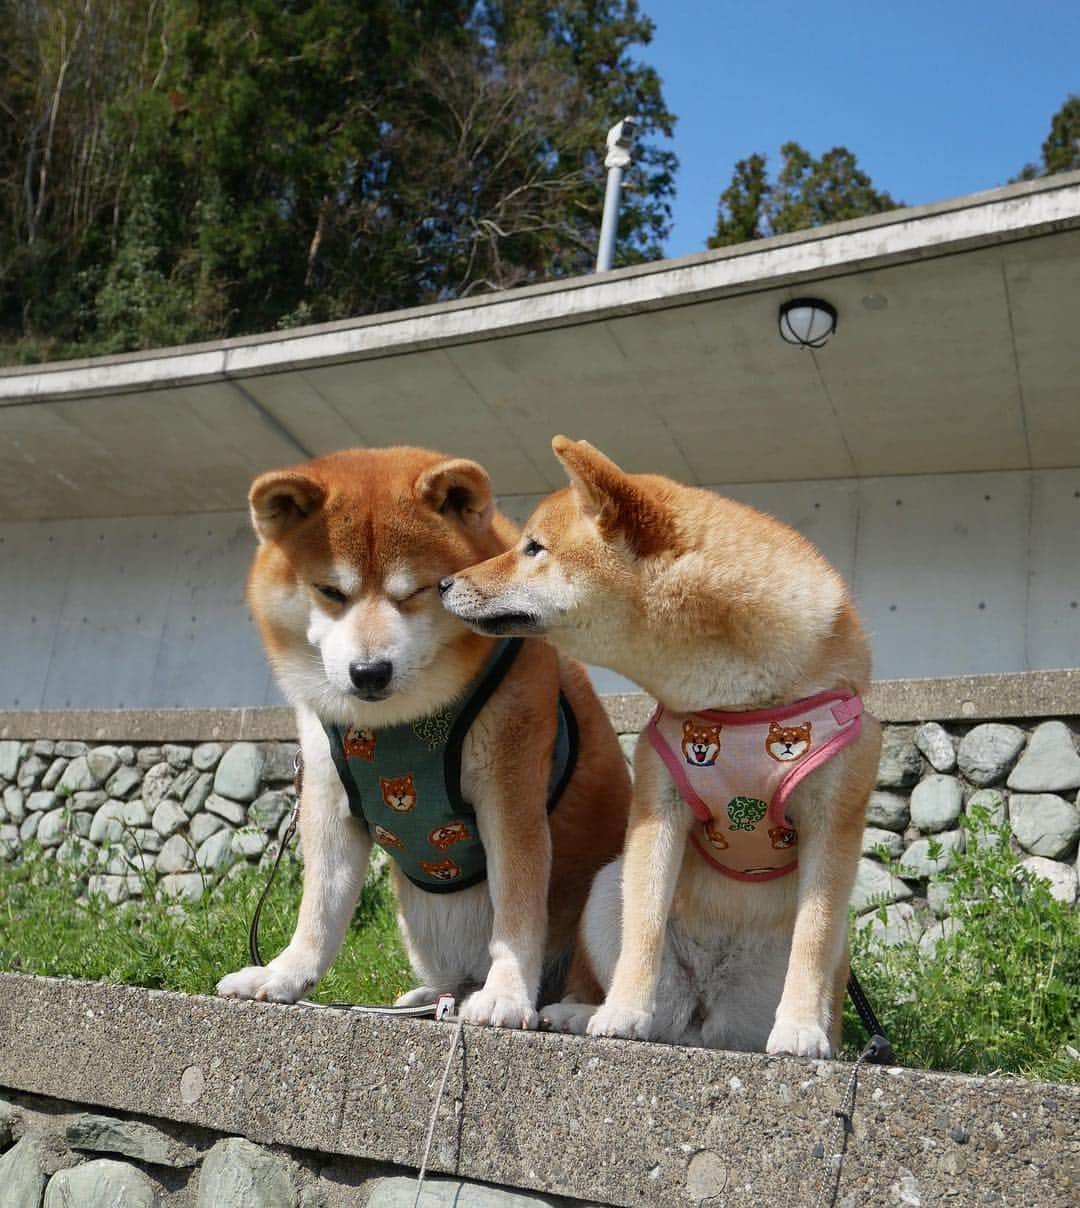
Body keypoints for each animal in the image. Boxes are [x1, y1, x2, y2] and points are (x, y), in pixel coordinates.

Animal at [215, 446, 628, 1029]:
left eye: (416, 591)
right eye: (330, 592)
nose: (369, 672)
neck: (398, 726)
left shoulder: (511, 795)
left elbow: (518, 914)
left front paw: (507, 995)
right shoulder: (328, 796)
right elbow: (319, 910)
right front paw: (283, 974)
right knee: (452, 979)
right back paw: (430, 997)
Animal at [444, 437, 884, 1058]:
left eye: (534, 548)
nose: (442, 584)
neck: (739, 703)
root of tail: (705, 1012)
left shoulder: (832, 824)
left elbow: (814, 937)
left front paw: (802, 1027)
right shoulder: (659, 807)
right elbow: (644, 928)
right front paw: (624, 1012)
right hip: (607, 886)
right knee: (632, 988)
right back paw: (581, 1012)